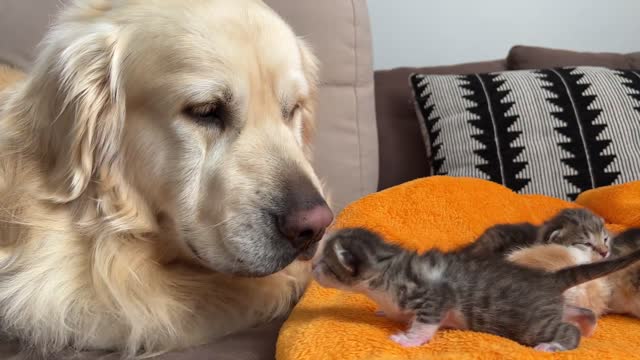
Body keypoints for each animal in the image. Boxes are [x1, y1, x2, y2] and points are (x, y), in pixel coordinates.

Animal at [312, 228, 640, 352]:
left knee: (565, 330)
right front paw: (385, 312)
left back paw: (556, 345)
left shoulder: (434, 295)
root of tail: (549, 279)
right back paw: (589, 325)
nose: (312, 268)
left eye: (324, 263)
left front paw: (409, 339)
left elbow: (426, 322)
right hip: (550, 307)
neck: (388, 265)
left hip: (529, 323)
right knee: (580, 311)